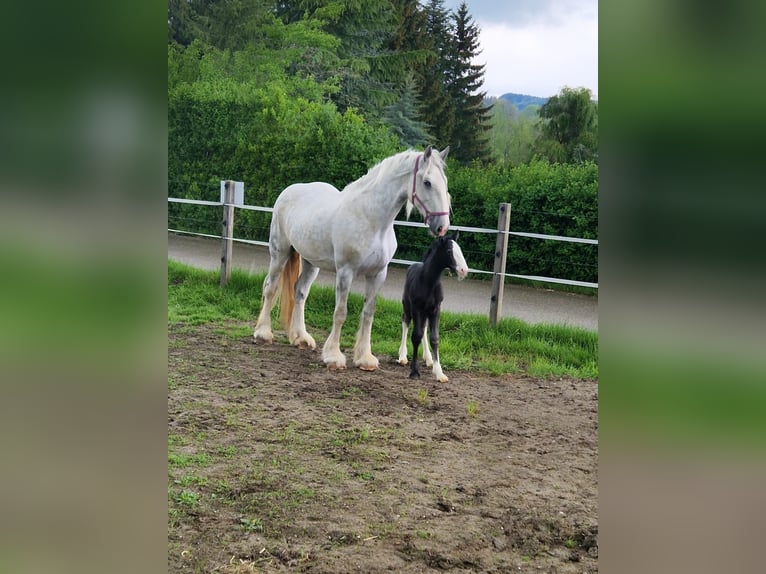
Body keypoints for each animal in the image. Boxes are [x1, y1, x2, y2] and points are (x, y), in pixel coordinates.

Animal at [253, 145, 452, 371]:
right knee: (270, 287)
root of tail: (289, 190)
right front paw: (333, 356)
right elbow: (340, 313)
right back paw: (263, 334)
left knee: (300, 292)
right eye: (427, 182)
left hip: (311, 263)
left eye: (445, 182)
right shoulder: (345, 272)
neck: (372, 220)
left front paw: (365, 358)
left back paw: (301, 338)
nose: (442, 227)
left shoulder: (378, 274)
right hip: (280, 252)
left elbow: (368, 314)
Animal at [397, 231, 468, 382]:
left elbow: (434, 338)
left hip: (425, 312)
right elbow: (415, 336)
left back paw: (428, 359)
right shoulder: (417, 308)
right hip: (408, 306)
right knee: (406, 322)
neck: (429, 282)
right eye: (449, 251)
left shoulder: (435, 309)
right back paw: (402, 356)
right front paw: (414, 372)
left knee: (423, 328)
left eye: (460, 249)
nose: (463, 270)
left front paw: (439, 372)